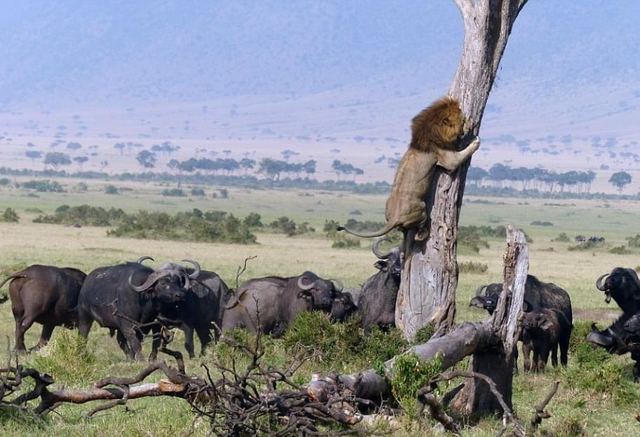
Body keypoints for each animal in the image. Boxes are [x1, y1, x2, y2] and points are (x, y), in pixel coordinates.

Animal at [340, 95, 480, 252]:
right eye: (462, 121)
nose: (469, 124)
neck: (433, 131)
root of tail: (394, 217)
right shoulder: (448, 158)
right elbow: (464, 153)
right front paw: (475, 140)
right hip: (421, 207)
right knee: (420, 227)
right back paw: (423, 234)